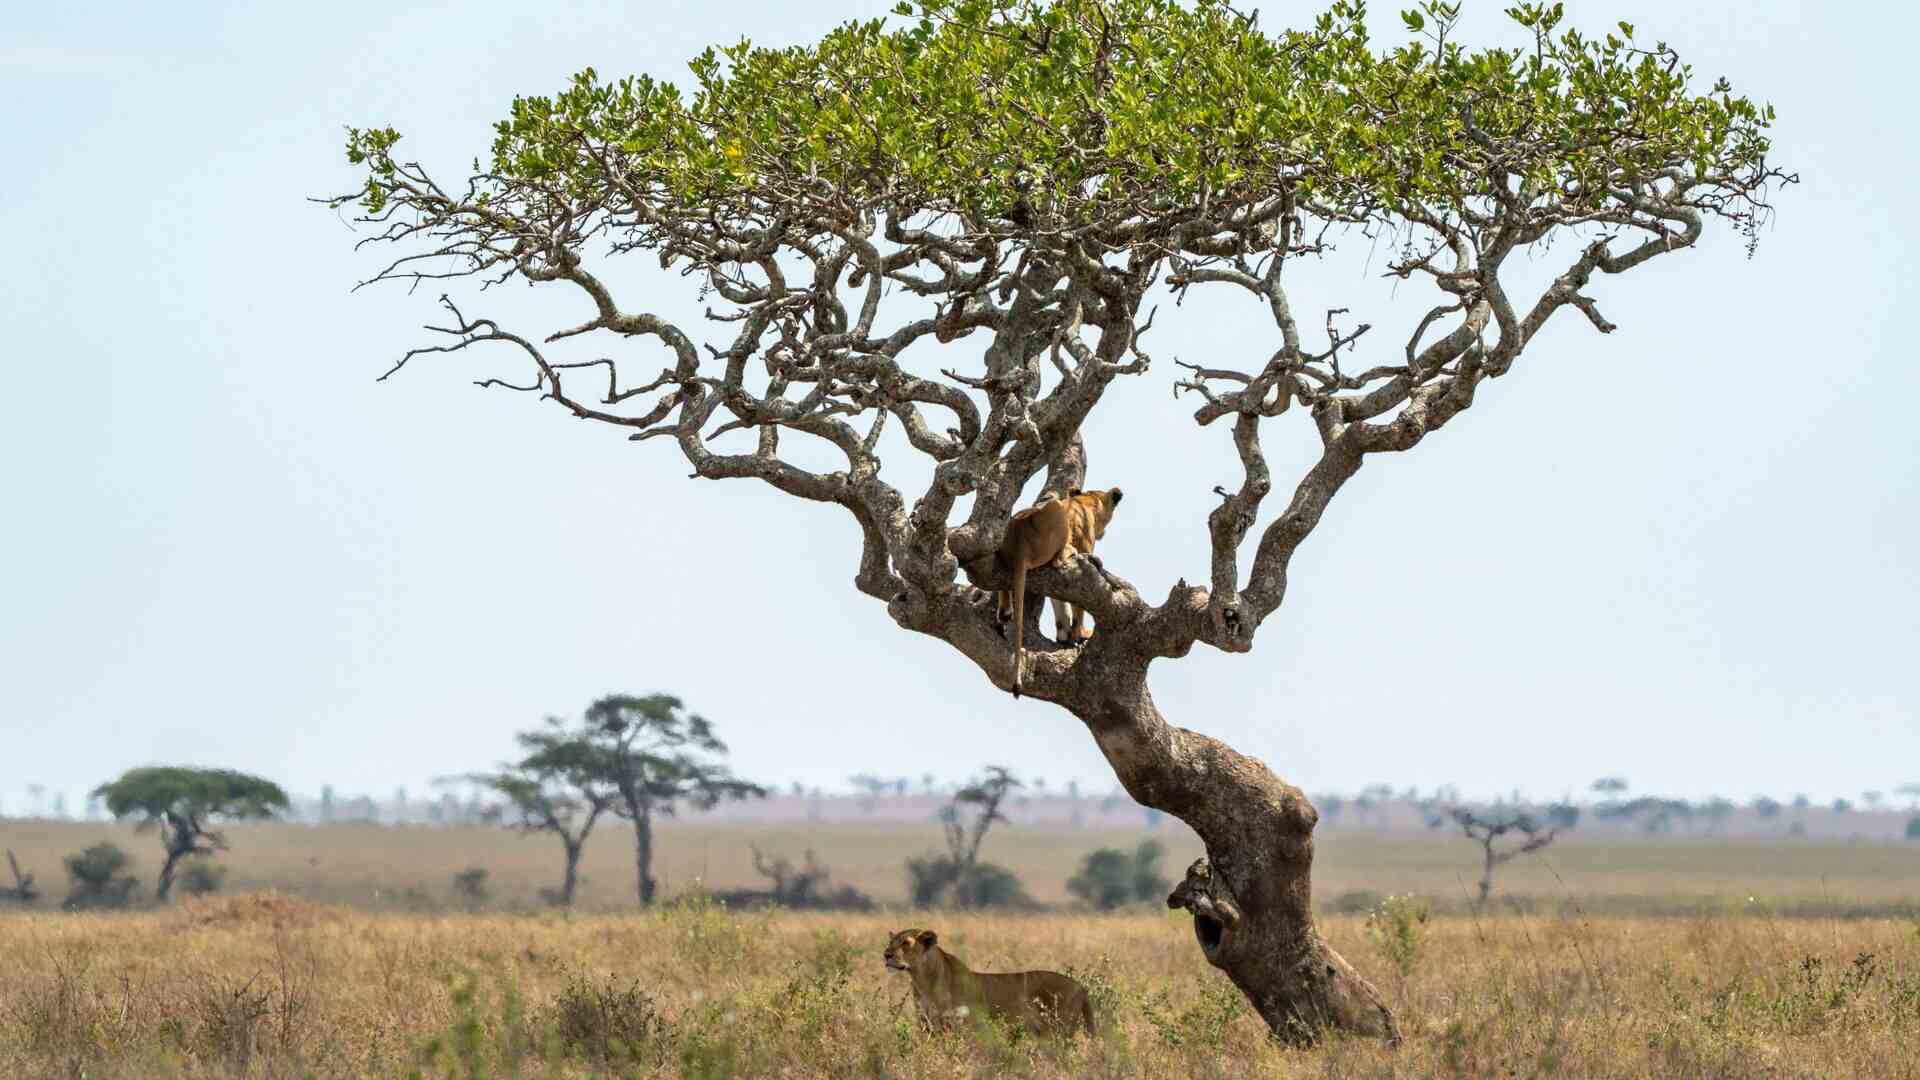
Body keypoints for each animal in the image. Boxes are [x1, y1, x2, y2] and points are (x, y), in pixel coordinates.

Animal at [883, 928, 1096, 1036]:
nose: (886, 954)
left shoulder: (962, 1026)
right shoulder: (926, 1025)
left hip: (1061, 1029)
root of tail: (1081, 986)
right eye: (891, 942)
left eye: (906, 943)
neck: (922, 980)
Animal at [994, 486, 1124, 698]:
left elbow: (1060, 603)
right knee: (1059, 560)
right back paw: (1074, 553)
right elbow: (1077, 607)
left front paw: (1063, 634)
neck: (1086, 501)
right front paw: (1079, 636)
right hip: (1054, 515)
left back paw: (1005, 612)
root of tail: (1020, 538)